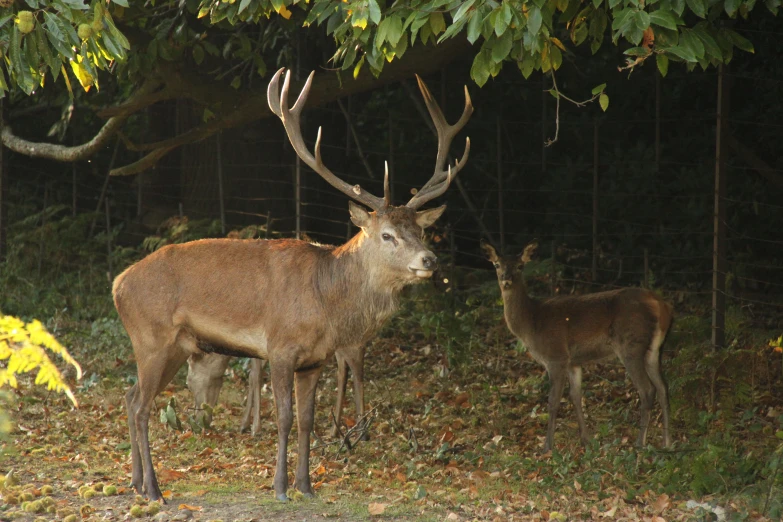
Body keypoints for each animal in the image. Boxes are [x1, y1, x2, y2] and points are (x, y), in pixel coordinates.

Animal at [112, 69, 472, 500]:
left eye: (420, 230)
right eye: (387, 235)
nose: (429, 260)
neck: (326, 301)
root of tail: (117, 284)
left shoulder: (316, 360)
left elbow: (306, 420)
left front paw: (307, 485)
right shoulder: (280, 348)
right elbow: (283, 418)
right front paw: (281, 487)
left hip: (176, 347)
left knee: (130, 396)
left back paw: (134, 481)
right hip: (152, 338)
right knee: (140, 406)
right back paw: (152, 488)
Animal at [484, 240, 672, 446]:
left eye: (520, 266)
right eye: (497, 264)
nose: (506, 279)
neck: (532, 323)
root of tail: (661, 305)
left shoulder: (556, 356)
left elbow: (553, 400)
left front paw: (547, 445)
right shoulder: (573, 362)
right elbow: (575, 397)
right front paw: (586, 439)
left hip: (630, 344)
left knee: (647, 389)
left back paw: (640, 443)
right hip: (654, 349)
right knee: (663, 387)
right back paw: (667, 442)